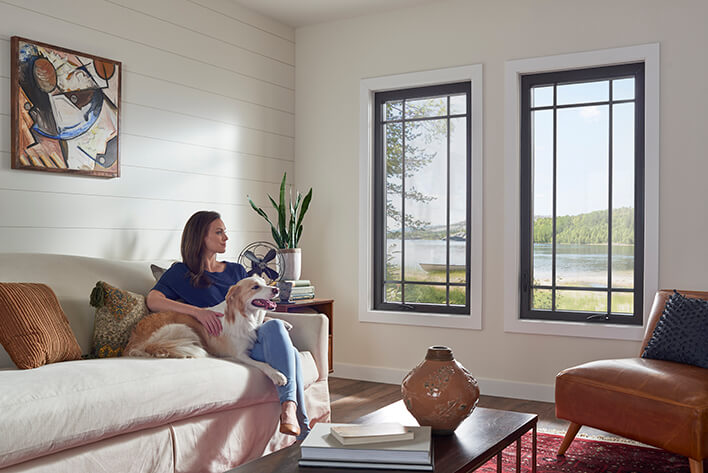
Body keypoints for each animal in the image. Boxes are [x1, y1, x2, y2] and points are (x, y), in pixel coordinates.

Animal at [124, 274, 288, 386]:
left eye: (265, 283)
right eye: (255, 287)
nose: (276, 289)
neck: (245, 316)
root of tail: (132, 342)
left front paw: (284, 322)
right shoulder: (239, 354)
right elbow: (263, 364)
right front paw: (277, 374)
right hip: (183, 327)